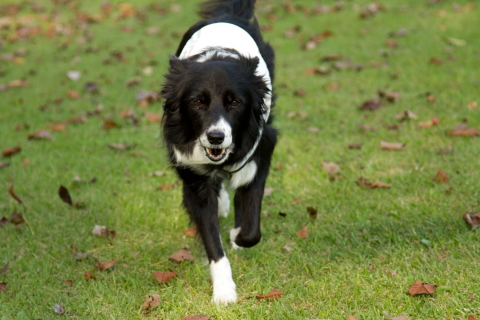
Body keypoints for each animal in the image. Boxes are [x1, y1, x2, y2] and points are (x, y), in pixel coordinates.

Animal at [160, 0, 276, 302]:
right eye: (197, 102)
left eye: (234, 102)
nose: (216, 137)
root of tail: (227, 14)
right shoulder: (191, 169)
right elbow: (211, 237)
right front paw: (224, 291)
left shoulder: (263, 146)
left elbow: (251, 222)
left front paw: (238, 235)